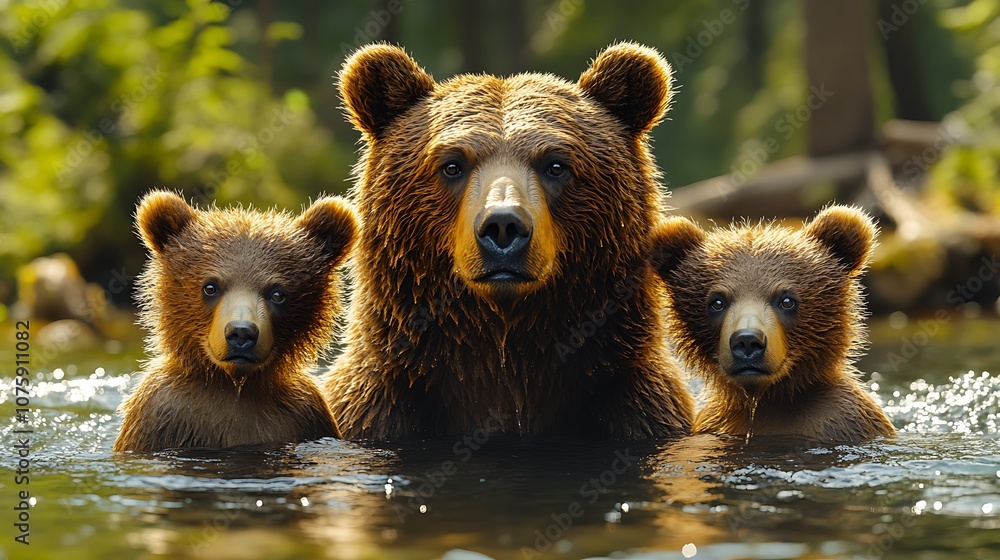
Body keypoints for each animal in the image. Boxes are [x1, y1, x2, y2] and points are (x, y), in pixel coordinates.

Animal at [113, 191, 357, 452]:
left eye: (277, 293)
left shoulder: (305, 416)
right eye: (210, 287)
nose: (241, 333)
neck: (235, 386)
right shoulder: (162, 414)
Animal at [650, 205, 895, 442]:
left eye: (786, 300)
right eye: (717, 302)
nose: (747, 341)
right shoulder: (715, 423)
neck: (765, 399)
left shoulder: (840, 419)